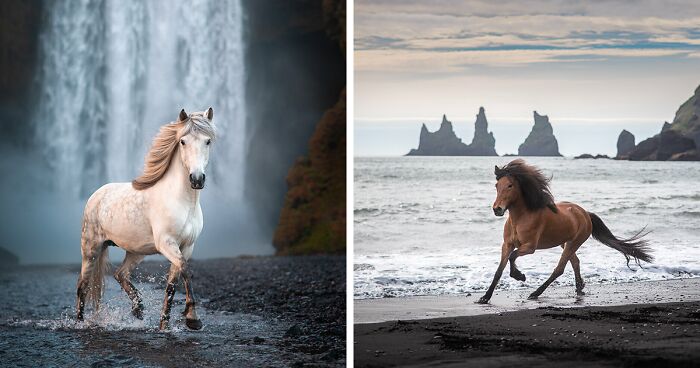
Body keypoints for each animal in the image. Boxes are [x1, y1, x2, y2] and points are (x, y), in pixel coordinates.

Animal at [75, 108, 215, 330]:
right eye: (183, 141)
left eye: (208, 141)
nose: (197, 179)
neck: (184, 201)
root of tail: (96, 195)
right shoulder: (167, 244)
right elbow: (185, 269)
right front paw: (193, 319)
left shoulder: (186, 246)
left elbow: (172, 285)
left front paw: (164, 326)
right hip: (91, 249)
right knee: (83, 286)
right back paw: (79, 323)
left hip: (136, 251)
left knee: (120, 274)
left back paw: (138, 309)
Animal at [478, 160, 652, 304]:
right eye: (496, 186)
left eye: (510, 186)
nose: (497, 209)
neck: (520, 218)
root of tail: (585, 213)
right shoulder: (506, 245)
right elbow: (499, 270)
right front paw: (485, 297)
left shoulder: (530, 247)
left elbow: (512, 257)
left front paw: (520, 276)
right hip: (566, 243)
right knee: (575, 262)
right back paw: (579, 288)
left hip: (574, 242)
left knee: (559, 269)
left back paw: (535, 293)